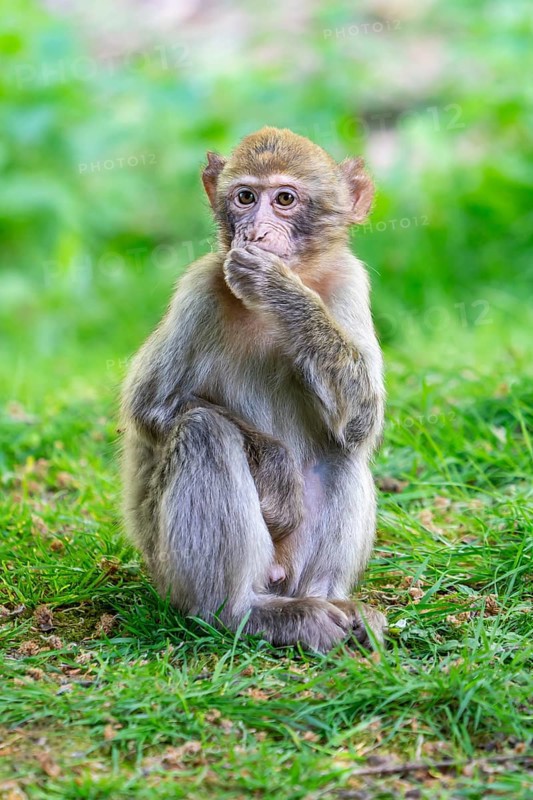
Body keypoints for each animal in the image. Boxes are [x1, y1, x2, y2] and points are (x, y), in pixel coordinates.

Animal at [121, 127, 386, 652]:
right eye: (245, 197)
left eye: (284, 199)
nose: (257, 232)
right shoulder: (199, 289)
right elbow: (152, 409)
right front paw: (279, 475)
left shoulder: (349, 281)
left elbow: (362, 420)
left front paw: (281, 291)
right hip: (171, 572)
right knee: (204, 430)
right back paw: (247, 613)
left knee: (342, 449)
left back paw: (331, 601)